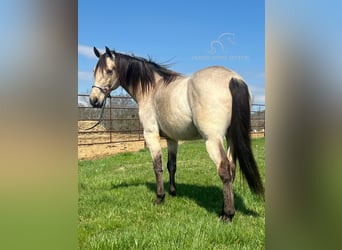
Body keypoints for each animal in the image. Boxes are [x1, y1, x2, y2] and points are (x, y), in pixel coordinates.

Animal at [89, 46, 264, 221]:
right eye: (94, 71)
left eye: (109, 71)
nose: (94, 100)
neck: (152, 89)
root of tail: (233, 78)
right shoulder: (172, 139)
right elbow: (171, 165)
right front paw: (173, 192)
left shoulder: (151, 135)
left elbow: (157, 166)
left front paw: (160, 197)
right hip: (231, 138)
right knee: (232, 168)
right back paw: (224, 209)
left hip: (212, 140)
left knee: (224, 169)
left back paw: (227, 214)